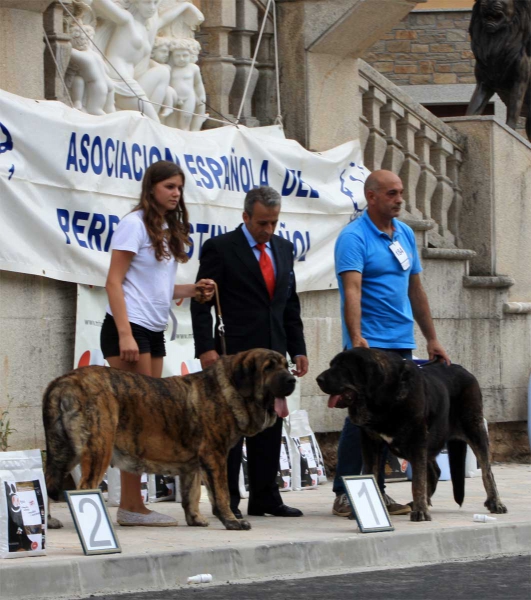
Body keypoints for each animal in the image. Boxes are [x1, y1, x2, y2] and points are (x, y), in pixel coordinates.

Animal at [42, 346, 296, 528]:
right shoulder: (214, 455)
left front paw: (195, 519)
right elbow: (222, 493)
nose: (292, 380)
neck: (230, 388)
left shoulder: (193, 463)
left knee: (46, 484)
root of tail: (64, 381)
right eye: (268, 368)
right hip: (97, 449)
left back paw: (50, 522)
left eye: (286, 366)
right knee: (83, 488)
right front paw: (232, 521)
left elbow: (192, 493)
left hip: (64, 452)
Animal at [318, 350, 510, 524]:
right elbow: (371, 473)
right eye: (331, 365)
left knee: (487, 471)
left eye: (343, 367)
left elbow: (417, 481)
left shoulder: (417, 440)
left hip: (473, 430)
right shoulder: (371, 443)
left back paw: (495, 503)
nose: (318, 379)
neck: (385, 395)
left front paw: (420, 512)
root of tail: (464, 370)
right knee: (434, 471)